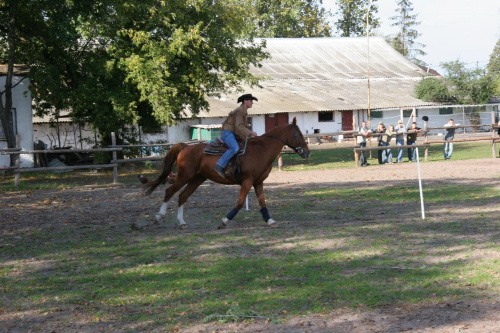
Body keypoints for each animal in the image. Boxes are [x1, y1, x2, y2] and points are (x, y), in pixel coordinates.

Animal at [143, 116, 310, 228]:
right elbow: (240, 202)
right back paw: (159, 217)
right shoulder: (247, 181)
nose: (307, 153)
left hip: (197, 179)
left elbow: (262, 201)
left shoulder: (258, 182)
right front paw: (224, 220)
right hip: (184, 176)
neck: (261, 150)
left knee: (183, 195)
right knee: (170, 191)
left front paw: (269, 220)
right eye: (299, 134)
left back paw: (182, 222)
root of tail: (185, 147)